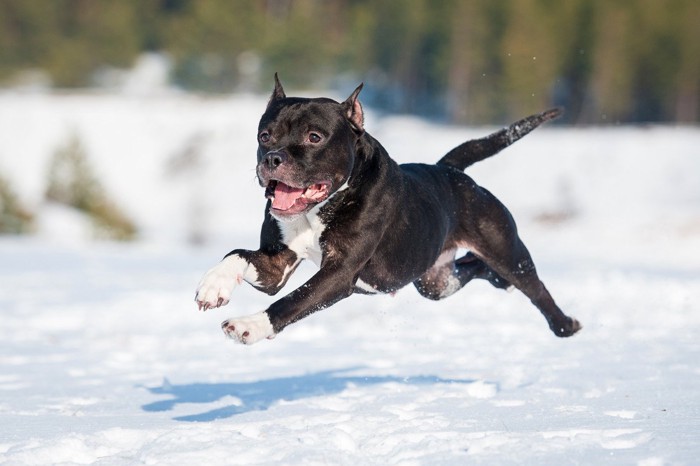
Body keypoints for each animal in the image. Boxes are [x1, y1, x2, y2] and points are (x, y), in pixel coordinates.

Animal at [194, 76, 584, 344]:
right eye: (265, 136)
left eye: (314, 137)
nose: (273, 158)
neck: (322, 208)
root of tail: (451, 171)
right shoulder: (275, 265)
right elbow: (237, 254)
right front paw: (213, 286)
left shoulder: (338, 275)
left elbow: (291, 302)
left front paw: (250, 325)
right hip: (434, 281)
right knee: (474, 268)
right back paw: (501, 283)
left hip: (507, 252)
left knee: (535, 289)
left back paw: (566, 324)